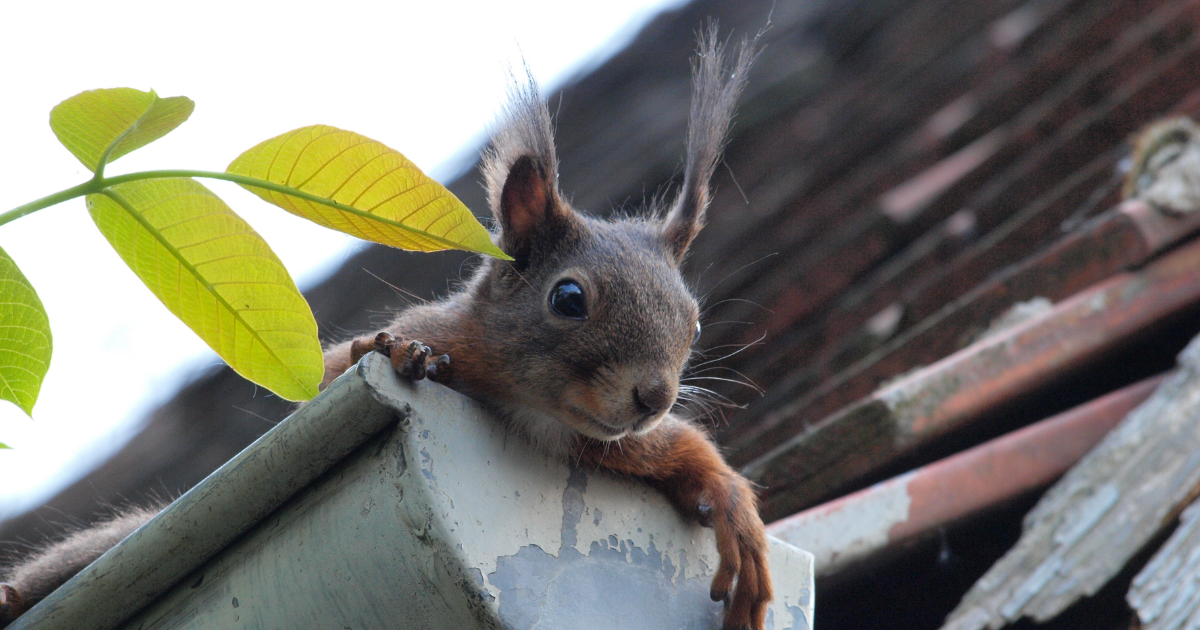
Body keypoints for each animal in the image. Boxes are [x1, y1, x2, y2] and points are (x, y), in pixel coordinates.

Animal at [1, 29, 772, 630]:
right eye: (569, 298)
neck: (536, 410)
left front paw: (736, 513)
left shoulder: (610, 444)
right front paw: (395, 350)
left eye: (694, 319)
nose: (654, 397)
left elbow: (685, 454)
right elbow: (333, 377)